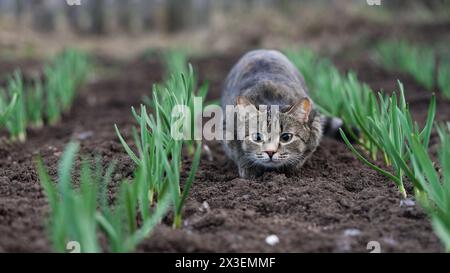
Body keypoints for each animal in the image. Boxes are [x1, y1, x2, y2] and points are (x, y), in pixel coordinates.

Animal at [221, 49, 342, 178]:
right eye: (257, 137)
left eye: (286, 137)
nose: (270, 152)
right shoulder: (227, 129)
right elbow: (238, 153)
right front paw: (249, 169)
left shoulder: (315, 126)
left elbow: (304, 154)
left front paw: (290, 167)